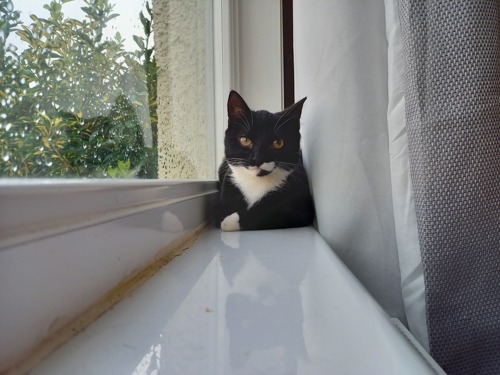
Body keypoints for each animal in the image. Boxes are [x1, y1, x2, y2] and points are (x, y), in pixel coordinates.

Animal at [214, 92, 314, 232]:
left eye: (278, 143)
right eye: (245, 140)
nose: (258, 159)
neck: (256, 182)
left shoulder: (302, 207)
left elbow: (268, 213)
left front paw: (229, 221)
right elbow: (220, 212)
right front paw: (226, 220)